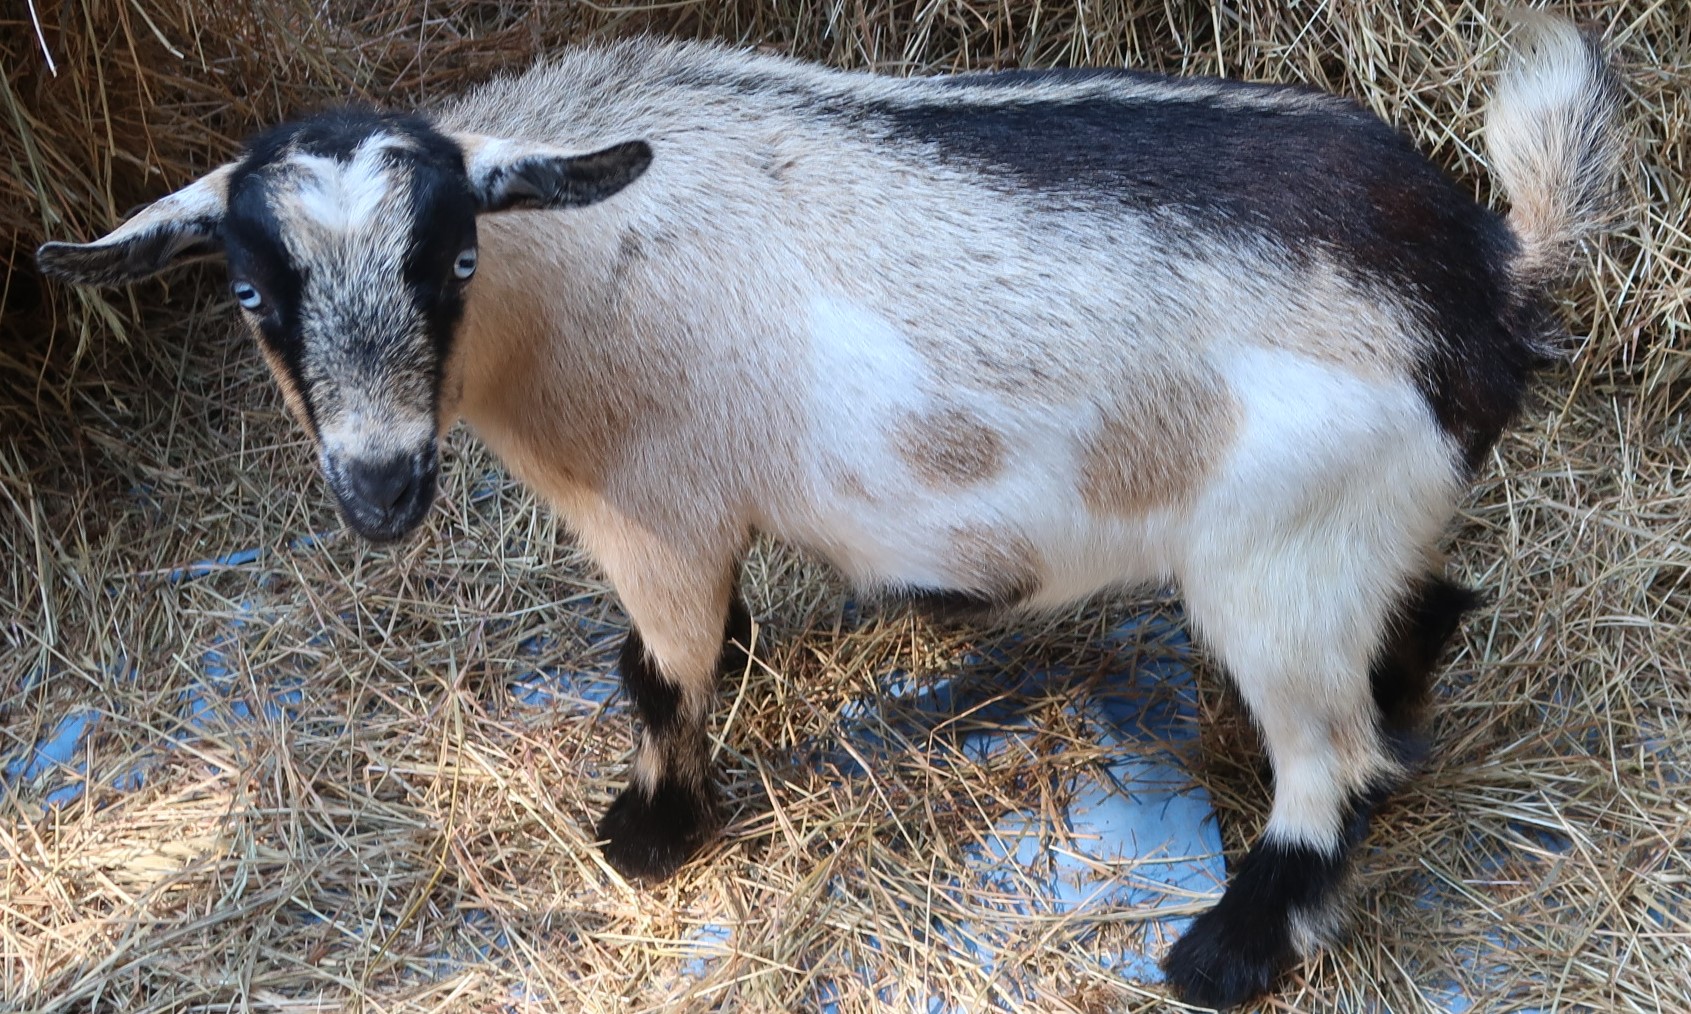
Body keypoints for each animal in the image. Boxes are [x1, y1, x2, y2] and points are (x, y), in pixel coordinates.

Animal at [39, 13, 1616, 1007]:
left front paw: (648, 834)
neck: (578, 268)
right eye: (255, 294)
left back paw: (1226, 950)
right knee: (1420, 622)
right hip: (1359, 529)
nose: (380, 488)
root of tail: (1486, 275)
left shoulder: (657, 513)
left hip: (1272, 559)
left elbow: (654, 672)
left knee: (1326, 757)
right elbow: (699, 651)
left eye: (452, 263)